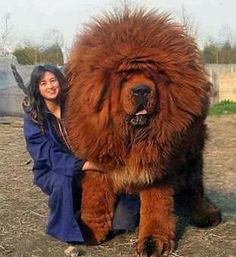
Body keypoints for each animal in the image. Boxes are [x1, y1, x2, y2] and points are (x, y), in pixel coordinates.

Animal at [64, 8, 221, 256]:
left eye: (153, 74)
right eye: (124, 76)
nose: (141, 90)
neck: (133, 137)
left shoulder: (159, 164)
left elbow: (156, 206)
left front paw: (152, 241)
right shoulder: (97, 156)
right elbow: (95, 197)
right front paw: (89, 229)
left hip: (191, 153)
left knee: (193, 186)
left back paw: (205, 212)